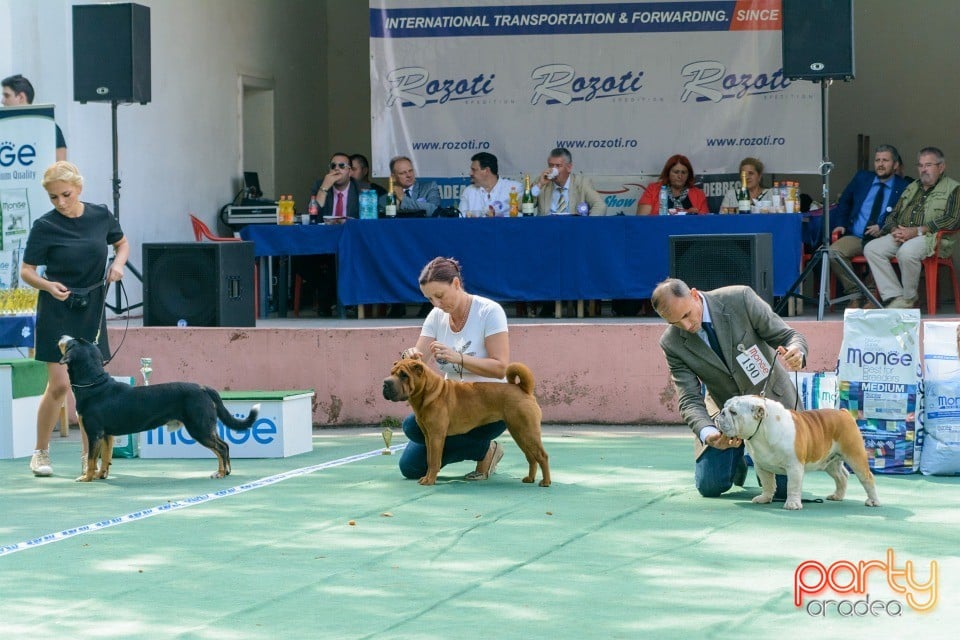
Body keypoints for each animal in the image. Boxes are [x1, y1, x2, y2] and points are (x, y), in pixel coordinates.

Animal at [59, 336, 258, 480]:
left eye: (70, 342)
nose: (62, 336)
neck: (93, 384)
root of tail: (203, 387)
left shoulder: (94, 433)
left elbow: (92, 459)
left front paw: (86, 478)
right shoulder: (107, 435)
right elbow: (106, 458)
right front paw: (101, 475)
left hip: (199, 428)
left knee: (221, 448)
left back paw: (221, 473)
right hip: (207, 426)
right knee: (225, 445)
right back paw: (227, 470)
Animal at [380, 358, 548, 488]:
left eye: (404, 375)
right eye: (391, 372)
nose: (385, 383)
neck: (430, 392)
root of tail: (523, 389)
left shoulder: (436, 436)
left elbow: (434, 461)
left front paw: (429, 480)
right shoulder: (428, 436)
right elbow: (429, 459)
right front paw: (427, 477)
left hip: (527, 432)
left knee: (542, 456)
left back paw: (545, 482)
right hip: (520, 433)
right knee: (531, 457)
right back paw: (530, 479)